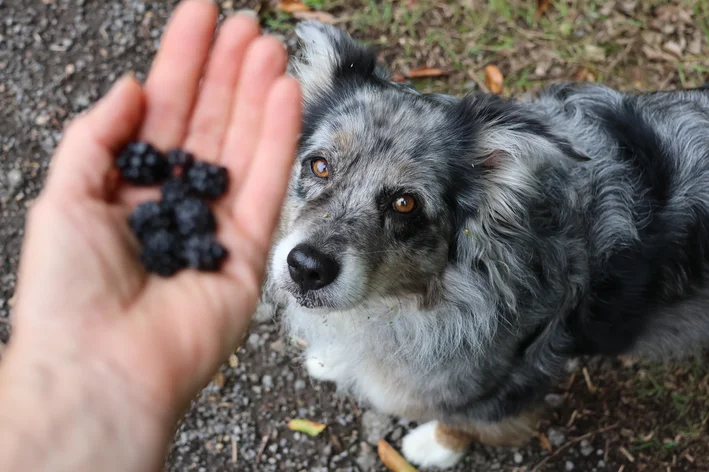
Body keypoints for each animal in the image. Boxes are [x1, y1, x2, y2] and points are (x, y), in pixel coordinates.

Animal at [262, 22, 708, 468]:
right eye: (320, 165)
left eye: (405, 203)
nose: (306, 267)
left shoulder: (502, 389)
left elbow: (462, 422)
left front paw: (435, 447)